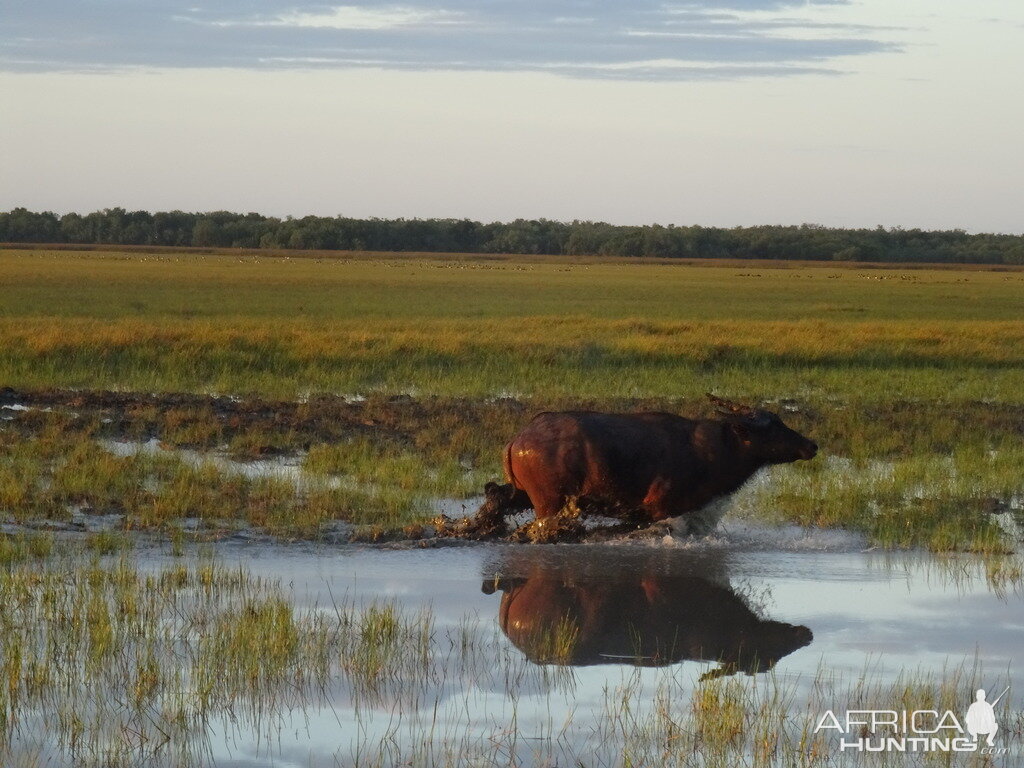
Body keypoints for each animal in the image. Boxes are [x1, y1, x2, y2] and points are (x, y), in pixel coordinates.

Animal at [487, 393, 815, 532]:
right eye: (773, 425)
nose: (812, 445)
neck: (716, 450)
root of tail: (518, 439)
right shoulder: (661, 510)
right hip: (548, 503)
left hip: (521, 495)